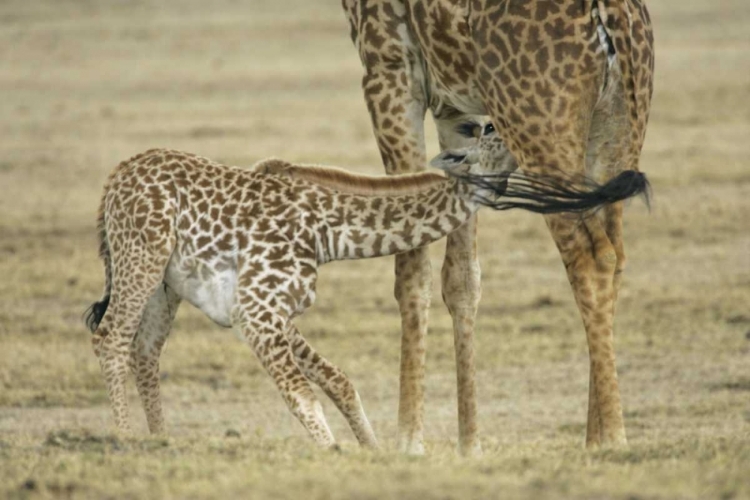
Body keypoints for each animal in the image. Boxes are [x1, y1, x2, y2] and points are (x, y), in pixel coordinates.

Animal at [85, 127, 648, 448]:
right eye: (493, 133)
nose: (532, 143)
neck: (328, 232)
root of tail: (114, 178)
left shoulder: (272, 309)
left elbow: (339, 382)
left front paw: (374, 455)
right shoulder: (258, 307)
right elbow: (304, 397)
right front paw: (337, 455)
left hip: (165, 285)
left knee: (144, 350)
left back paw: (162, 444)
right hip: (142, 255)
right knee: (111, 337)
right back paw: (126, 442)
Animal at [340, 0, 652, 454]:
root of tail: (614, 14)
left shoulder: (389, 65)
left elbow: (411, 265)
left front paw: (409, 441)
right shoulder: (454, 103)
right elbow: (462, 276)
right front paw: (469, 446)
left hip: (541, 131)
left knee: (589, 257)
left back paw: (613, 437)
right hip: (621, 130)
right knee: (616, 255)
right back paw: (594, 437)